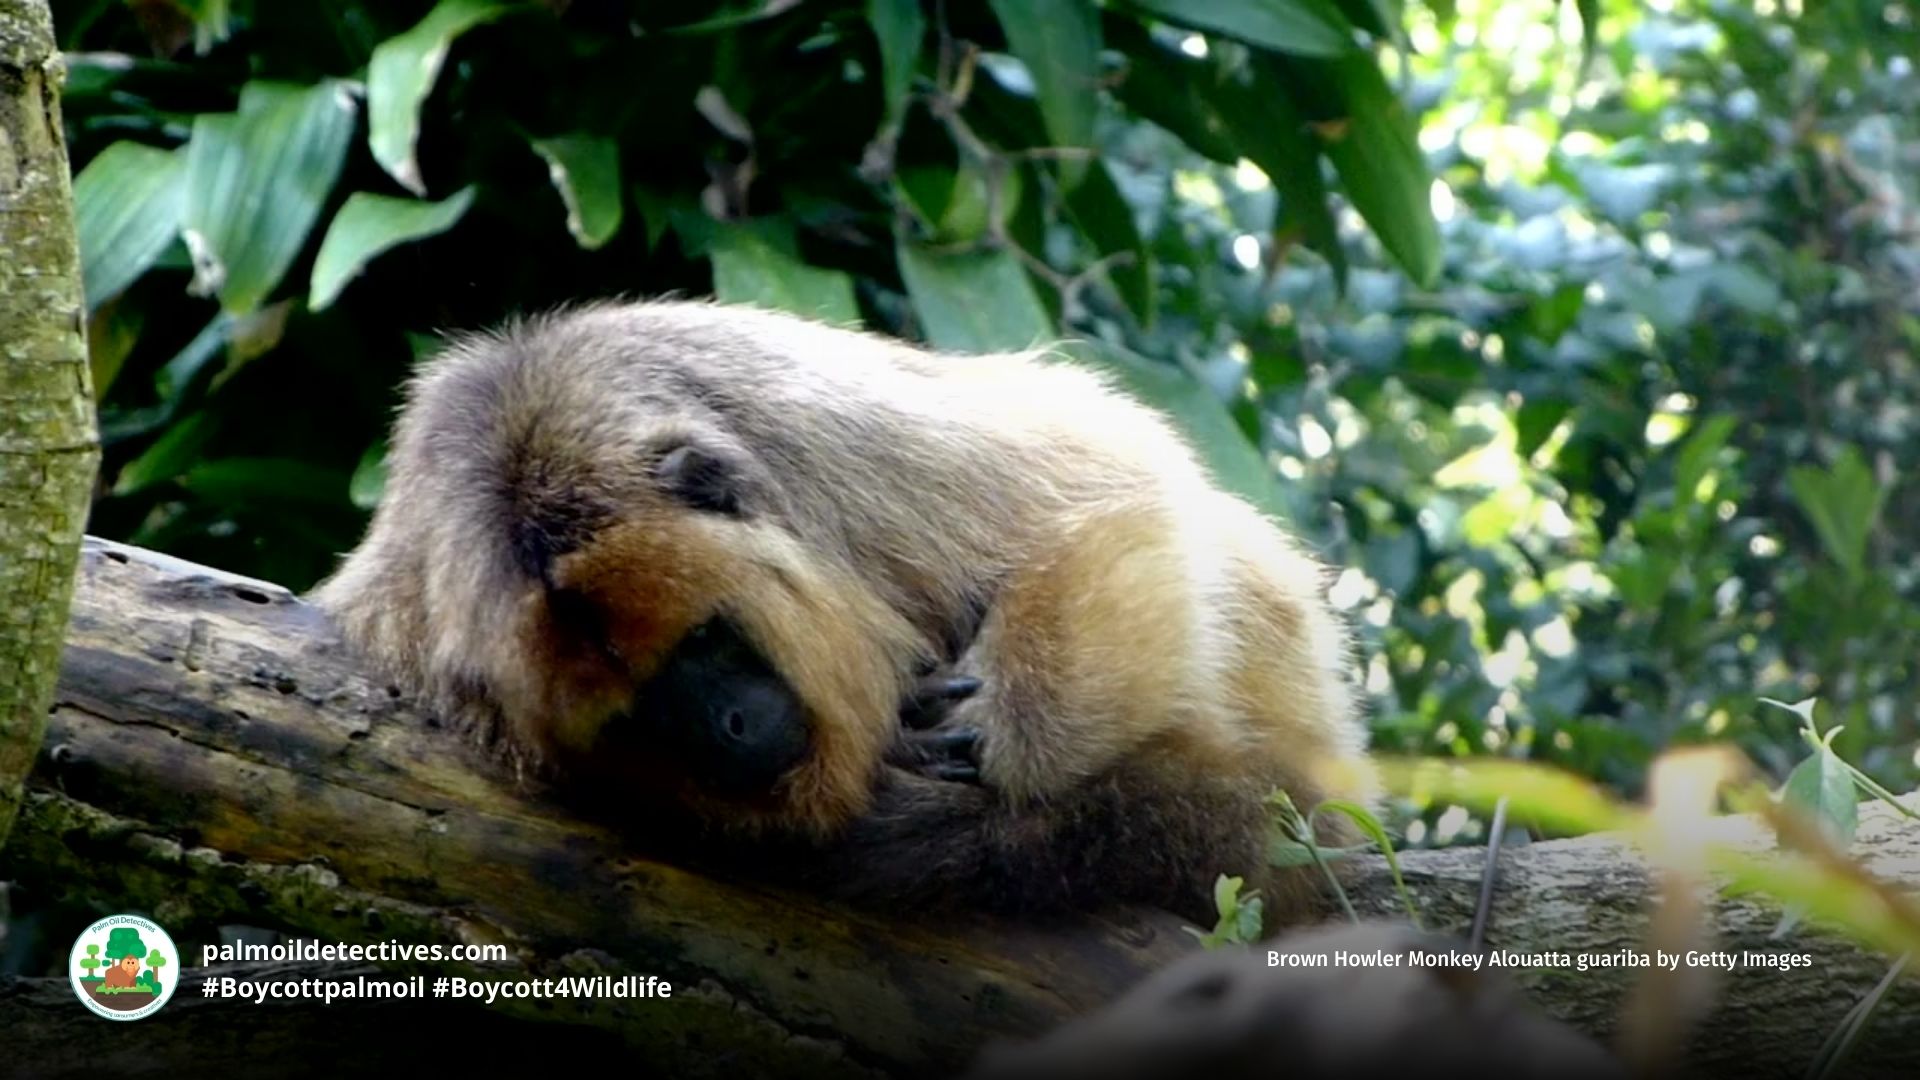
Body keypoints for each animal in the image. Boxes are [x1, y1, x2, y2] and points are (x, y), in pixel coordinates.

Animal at [312, 300, 1376, 924]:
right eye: (634, 714)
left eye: (707, 639)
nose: (728, 731)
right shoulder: (401, 627)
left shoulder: (821, 437)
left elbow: (1110, 491)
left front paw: (998, 757)